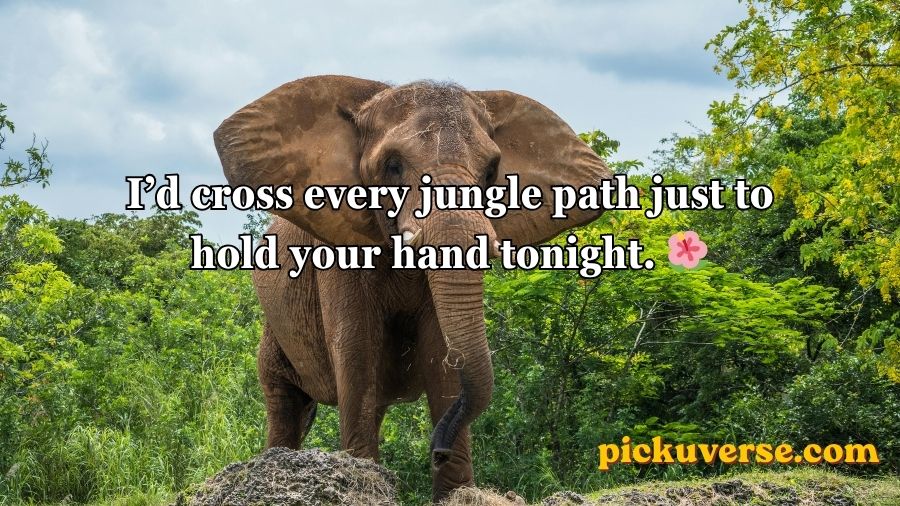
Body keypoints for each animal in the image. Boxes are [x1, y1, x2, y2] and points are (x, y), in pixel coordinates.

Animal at [214, 75, 612, 502]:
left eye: (491, 171)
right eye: (393, 166)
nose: (437, 450)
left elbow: (442, 353)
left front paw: (455, 494)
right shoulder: (340, 250)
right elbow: (357, 349)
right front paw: (365, 485)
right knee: (284, 401)